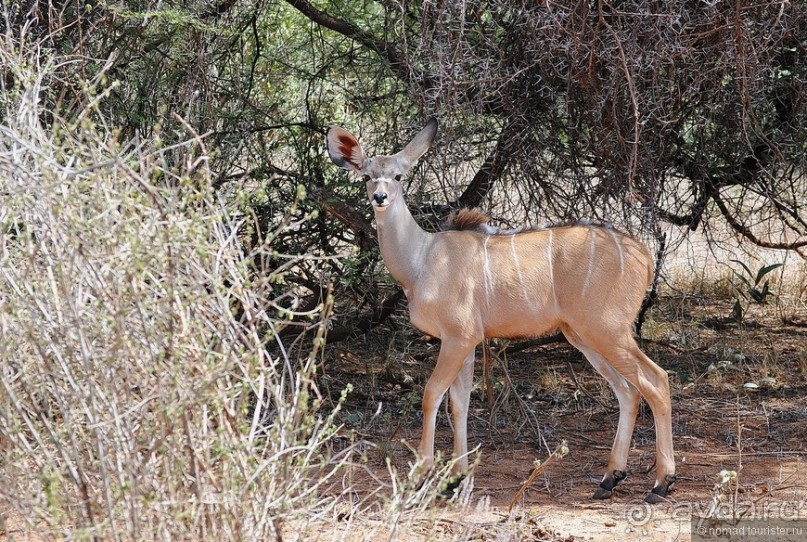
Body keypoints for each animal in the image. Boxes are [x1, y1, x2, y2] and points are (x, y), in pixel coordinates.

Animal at [326, 119, 676, 506]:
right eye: (366, 176)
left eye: (399, 175)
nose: (379, 197)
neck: (421, 260)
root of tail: (643, 255)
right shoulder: (464, 342)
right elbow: (459, 402)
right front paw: (457, 480)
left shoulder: (458, 337)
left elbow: (432, 395)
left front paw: (423, 477)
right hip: (583, 336)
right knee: (628, 391)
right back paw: (610, 478)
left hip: (607, 330)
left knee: (656, 380)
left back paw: (661, 484)